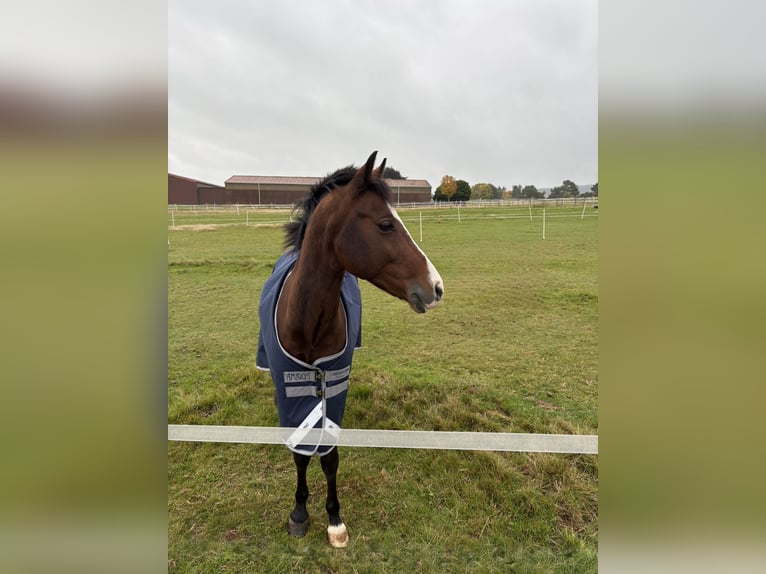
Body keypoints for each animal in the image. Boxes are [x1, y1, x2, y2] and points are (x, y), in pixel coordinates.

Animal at [256, 151, 444, 548]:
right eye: (386, 224)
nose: (436, 287)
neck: (306, 320)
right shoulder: (293, 387)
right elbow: (300, 453)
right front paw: (299, 513)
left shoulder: (334, 382)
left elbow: (329, 456)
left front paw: (334, 520)